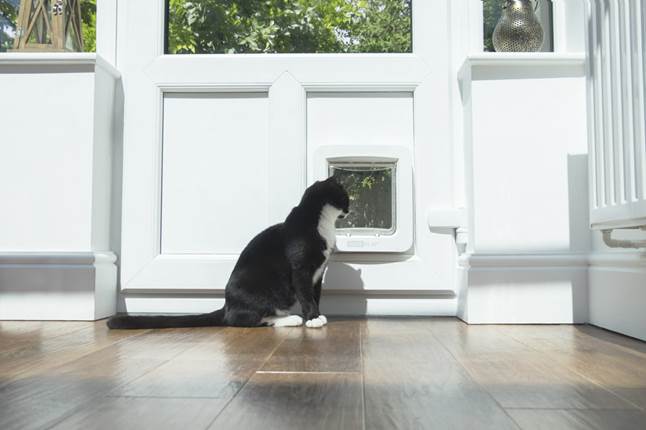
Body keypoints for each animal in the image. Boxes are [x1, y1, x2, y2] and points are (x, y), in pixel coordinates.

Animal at [107, 176, 350, 330]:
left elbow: (315, 295)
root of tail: (227, 305)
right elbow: (306, 296)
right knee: (242, 320)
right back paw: (291, 319)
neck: (319, 222)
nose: (349, 209)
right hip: (260, 293)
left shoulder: (318, 273)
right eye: (346, 197)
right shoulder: (301, 270)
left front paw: (317, 315)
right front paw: (313, 319)